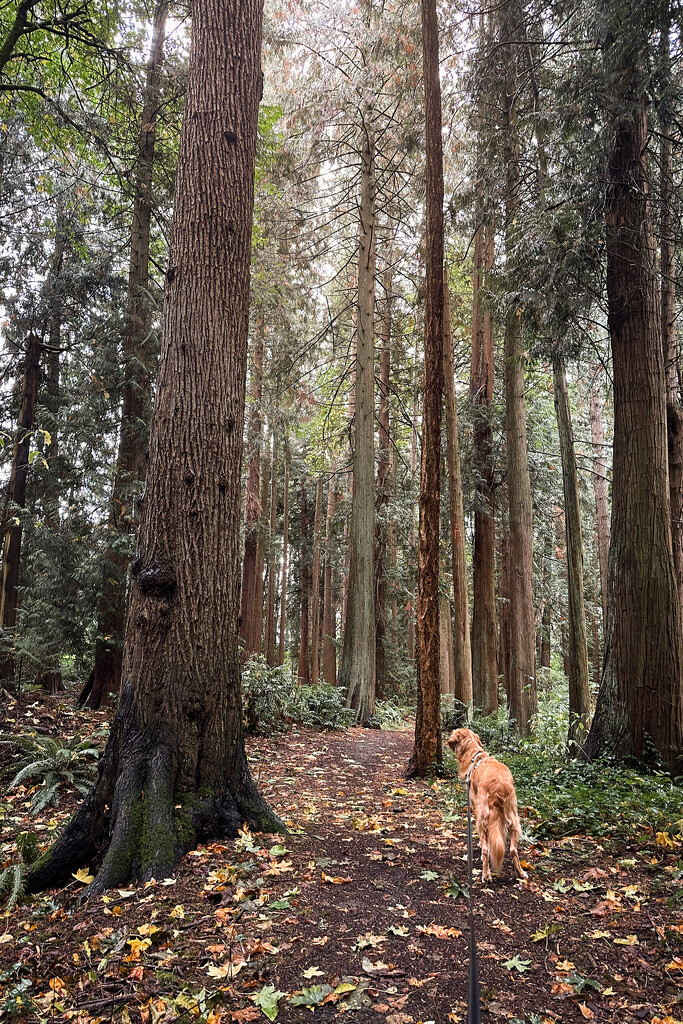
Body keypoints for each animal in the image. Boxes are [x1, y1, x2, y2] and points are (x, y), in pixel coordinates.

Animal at [448, 729, 528, 880]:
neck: (474, 755)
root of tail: (497, 785)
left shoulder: (474, 804)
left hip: (482, 816)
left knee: (485, 850)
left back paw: (486, 875)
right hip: (513, 816)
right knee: (513, 849)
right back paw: (520, 873)